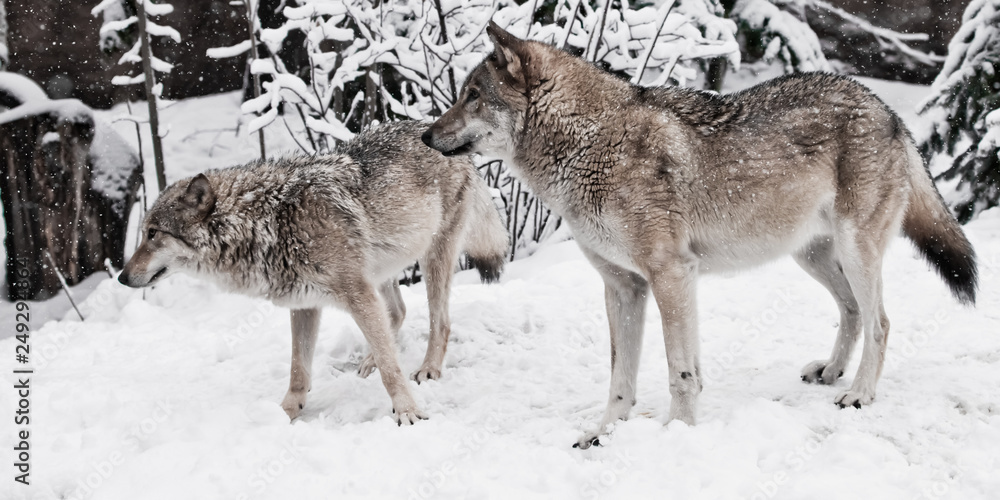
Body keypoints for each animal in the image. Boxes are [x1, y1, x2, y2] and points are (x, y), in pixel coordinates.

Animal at [118, 121, 509, 425]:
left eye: (152, 234)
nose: (122, 277)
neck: (269, 221)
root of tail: (435, 129)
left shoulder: (355, 294)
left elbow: (391, 369)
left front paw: (407, 412)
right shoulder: (304, 304)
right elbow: (298, 370)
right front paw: (285, 413)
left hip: (432, 259)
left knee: (439, 323)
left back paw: (428, 369)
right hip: (380, 269)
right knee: (397, 313)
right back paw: (368, 359)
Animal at [422, 22, 978, 448]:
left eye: (473, 97)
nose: (425, 136)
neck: (589, 143)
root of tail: (886, 107)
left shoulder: (672, 275)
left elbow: (681, 372)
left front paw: (678, 433)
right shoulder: (623, 287)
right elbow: (619, 379)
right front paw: (604, 434)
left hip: (854, 252)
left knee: (881, 320)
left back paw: (859, 393)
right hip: (813, 257)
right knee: (853, 311)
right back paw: (832, 372)